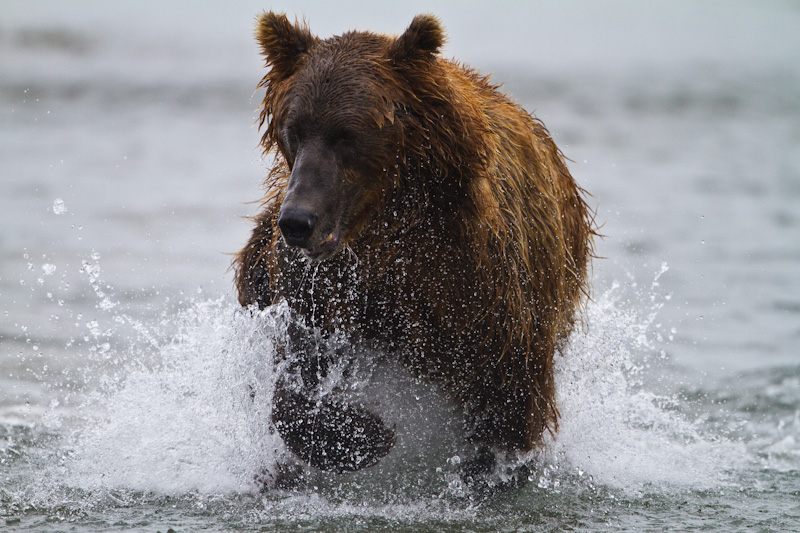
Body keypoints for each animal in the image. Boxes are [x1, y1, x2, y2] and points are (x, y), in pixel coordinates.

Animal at [233, 12, 592, 478]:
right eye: (293, 128)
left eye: (347, 133)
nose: (297, 221)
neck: (390, 227)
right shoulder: (323, 284)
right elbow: (297, 369)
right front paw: (365, 434)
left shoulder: (480, 281)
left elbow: (509, 394)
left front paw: (486, 468)